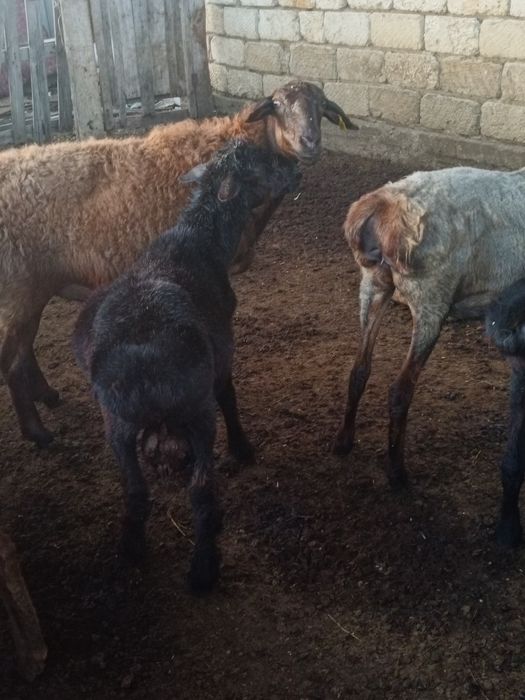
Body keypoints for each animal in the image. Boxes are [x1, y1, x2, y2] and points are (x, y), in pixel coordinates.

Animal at [0, 81, 355, 447]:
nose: (310, 142)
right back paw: (37, 431)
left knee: (23, 349)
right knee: (11, 360)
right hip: (19, 287)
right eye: (278, 105)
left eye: (321, 106)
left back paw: (47, 395)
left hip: (30, 287)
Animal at [73, 141, 300, 592]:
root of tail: (143, 367)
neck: (200, 239)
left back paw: (131, 546)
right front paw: (243, 449)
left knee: (135, 490)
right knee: (200, 491)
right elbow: (229, 395)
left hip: (117, 427)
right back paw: (203, 567)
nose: (297, 168)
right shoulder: (223, 348)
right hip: (197, 414)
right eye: (265, 162)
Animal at [333, 166, 525, 487]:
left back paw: (344, 442)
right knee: (400, 390)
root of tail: (382, 207)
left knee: (359, 369)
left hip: (373, 283)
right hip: (430, 296)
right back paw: (397, 473)